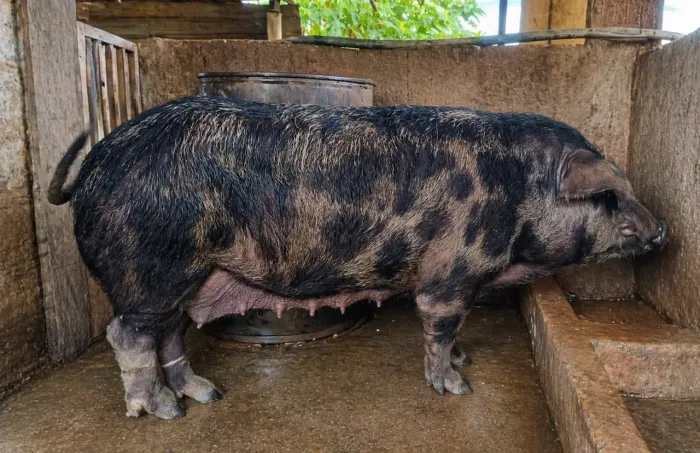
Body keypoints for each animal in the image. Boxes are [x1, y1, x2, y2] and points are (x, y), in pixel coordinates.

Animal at [48, 96, 668, 419]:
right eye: (610, 195)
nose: (663, 228)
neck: (520, 195)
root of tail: (99, 157)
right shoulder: (450, 271)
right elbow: (439, 324)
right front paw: (455, 386)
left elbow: (456, 331)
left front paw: (465, 359)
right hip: (149, 267)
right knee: (127, 335)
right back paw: (159, 412)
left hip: (191, 275)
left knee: (170, 332)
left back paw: (204, 395)